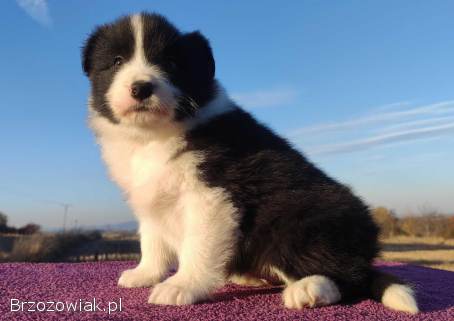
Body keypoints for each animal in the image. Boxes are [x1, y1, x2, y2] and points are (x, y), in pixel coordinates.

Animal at [80, 13, 418, 312]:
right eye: (117, 62)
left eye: (172, 63)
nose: (141, 88)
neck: (154, 136)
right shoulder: (150, 196)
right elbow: (152, 241)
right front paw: (144, 274)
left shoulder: (211, 196)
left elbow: (197, 247)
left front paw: (182, 286)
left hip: (300, 222)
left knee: (350, 277)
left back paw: (310, 288)